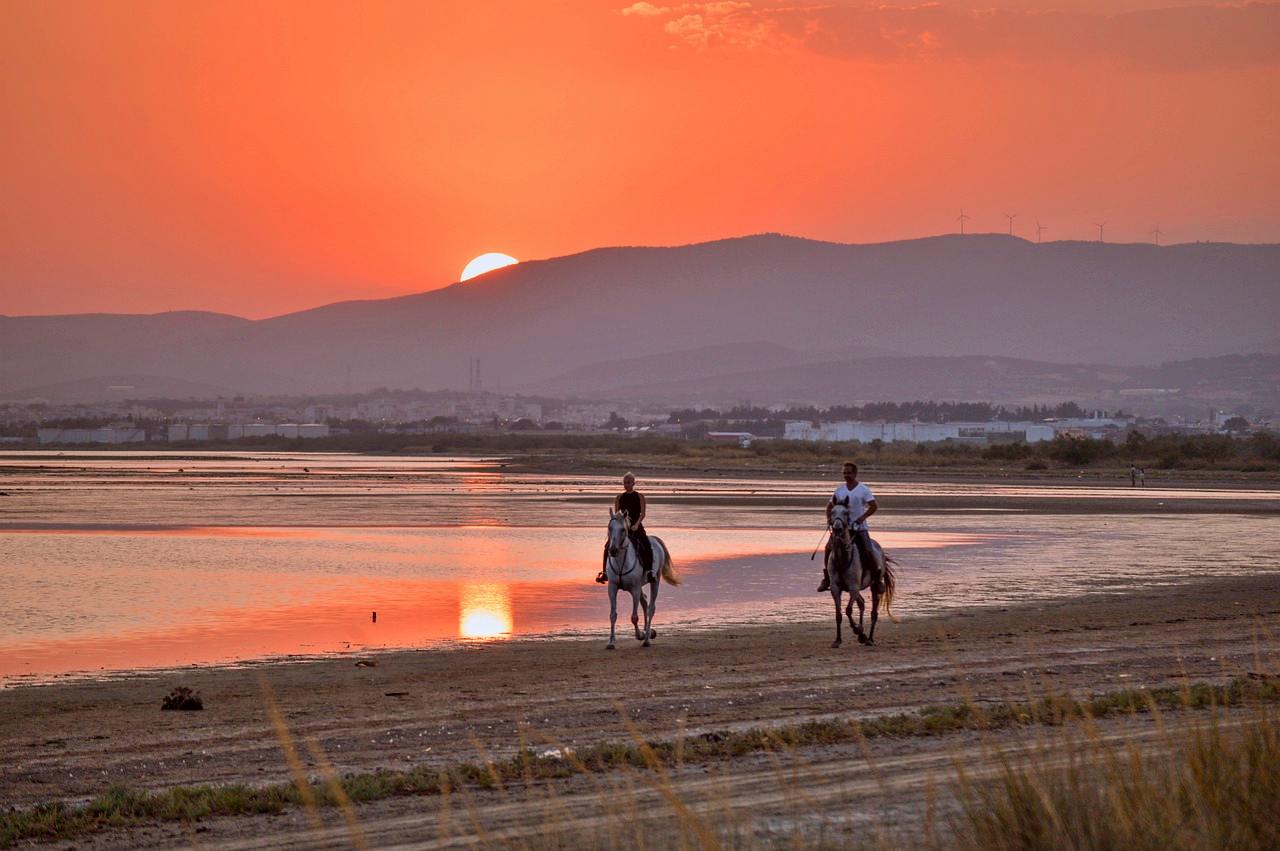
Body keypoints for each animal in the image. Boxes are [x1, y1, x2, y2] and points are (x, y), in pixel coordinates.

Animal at [601, 506, 680, 647]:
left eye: (623, 529)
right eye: (609, 528)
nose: (613, 550)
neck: (622, 562)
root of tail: (655, 539)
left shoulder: (635, 589)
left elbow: (634, 617)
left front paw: (640, 635)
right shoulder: (612, 588)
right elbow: (613, 615)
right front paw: (611, 642)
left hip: (654, 581)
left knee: (651, 608)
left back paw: (647, 638)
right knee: (644, 602)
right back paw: (647, 633)